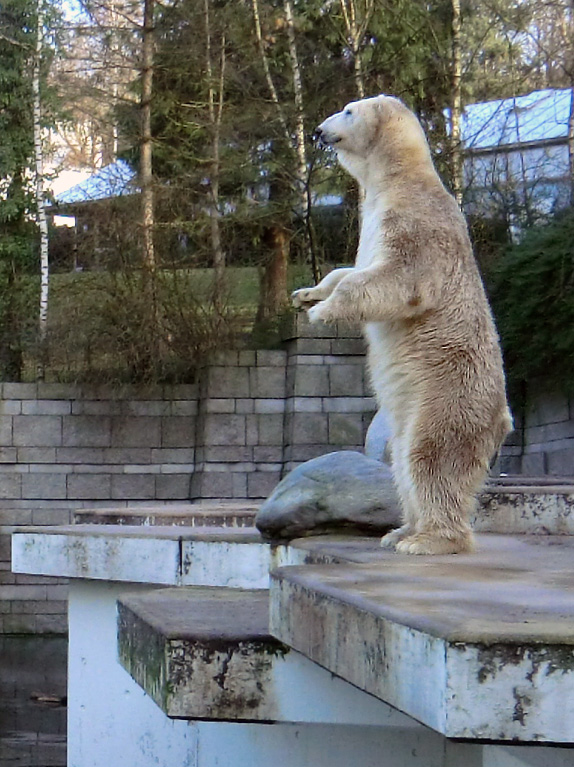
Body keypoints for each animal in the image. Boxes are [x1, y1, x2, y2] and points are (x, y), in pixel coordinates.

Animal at [294, 96, 516, 556]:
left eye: (347, 111)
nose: (317, 131)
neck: (399, 180)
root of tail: (502, 420)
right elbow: (349, 269)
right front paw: (308, 294)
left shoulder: (415, 221)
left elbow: (399, 277)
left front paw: (323, 313)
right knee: (398, 460)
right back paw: (400, 530)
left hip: (447, 396)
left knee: (429, 456)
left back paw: (428, 540)